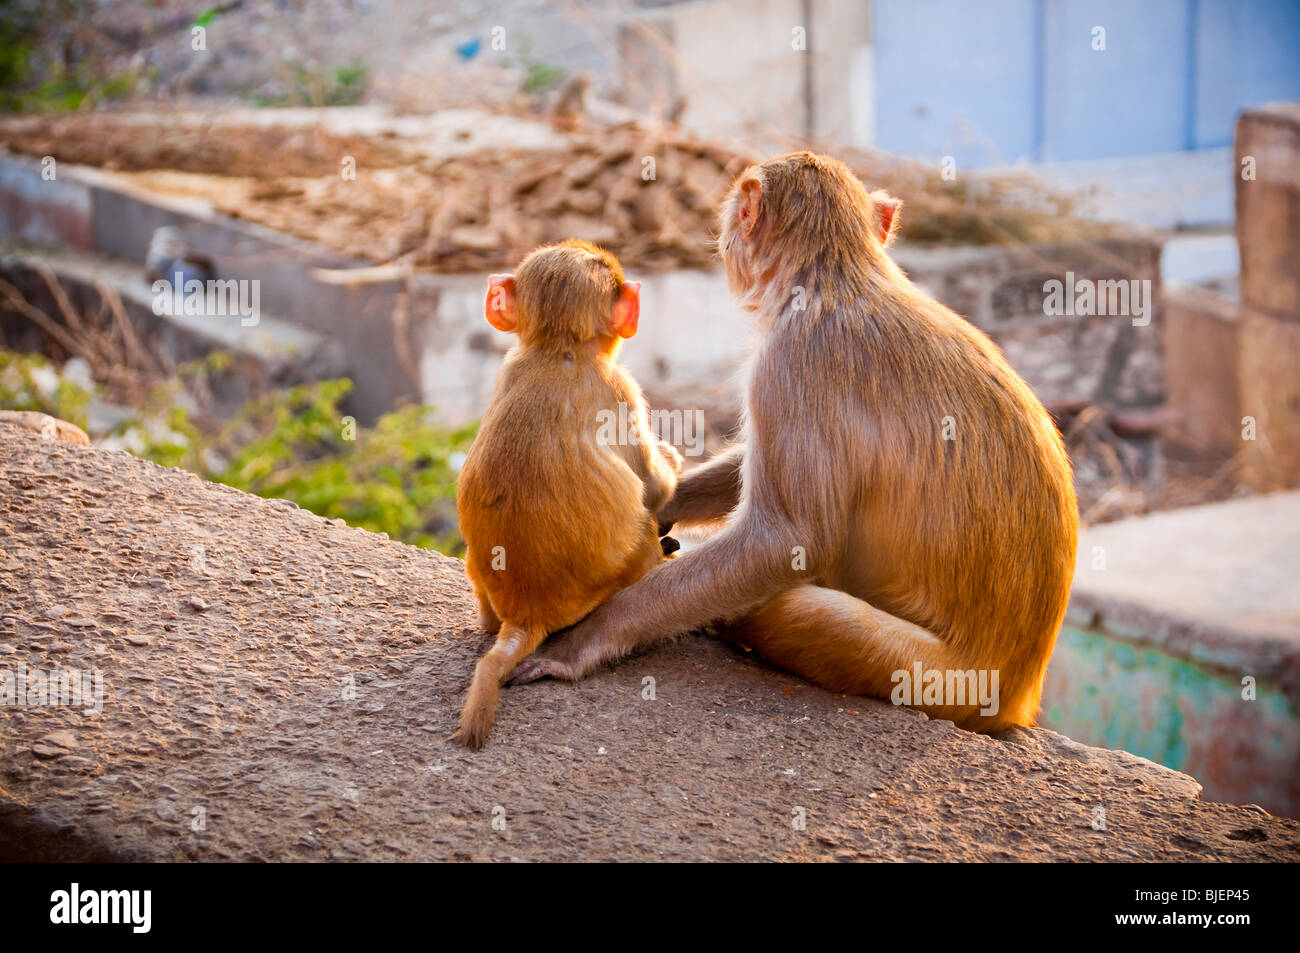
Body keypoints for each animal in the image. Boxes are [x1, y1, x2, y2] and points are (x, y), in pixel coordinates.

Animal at [452, 241, 681, 748]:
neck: (558, 349)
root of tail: (526, 611)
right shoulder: (621, 388)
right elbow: (655, 486)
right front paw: (670, 462)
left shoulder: (508, 364)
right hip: (606, 582)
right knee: (642, 528)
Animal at [506, 152, 1076, 728]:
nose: (724, 242)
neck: (837, 278)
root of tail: (1017, 693)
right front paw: (661, 505)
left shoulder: (788, 361)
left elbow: (788, 541)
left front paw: (582, 641)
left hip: (932, 678)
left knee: (786, 605)